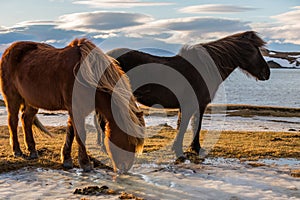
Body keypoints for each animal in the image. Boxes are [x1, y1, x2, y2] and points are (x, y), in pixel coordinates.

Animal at [0, 38, 145, 172]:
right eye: (129, 139)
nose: (125, 167)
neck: (87, 75)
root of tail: (9, 50)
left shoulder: (75, 110)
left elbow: (70, 133)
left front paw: (66, 159)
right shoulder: (75, 109)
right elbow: (80, 134)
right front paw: (86, 164)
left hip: (32, 101)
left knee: (26, 119)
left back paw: (32, 151)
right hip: (13, 98)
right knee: (13, 122)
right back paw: (17, 150)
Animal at [95, 30, 270, 158]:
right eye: (256, 50)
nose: (267, 73)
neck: (203, 68)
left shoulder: (189, 106)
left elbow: (185, 125)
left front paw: (187, 148)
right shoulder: (196, 105)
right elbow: (192, 126)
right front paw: (188, 150)